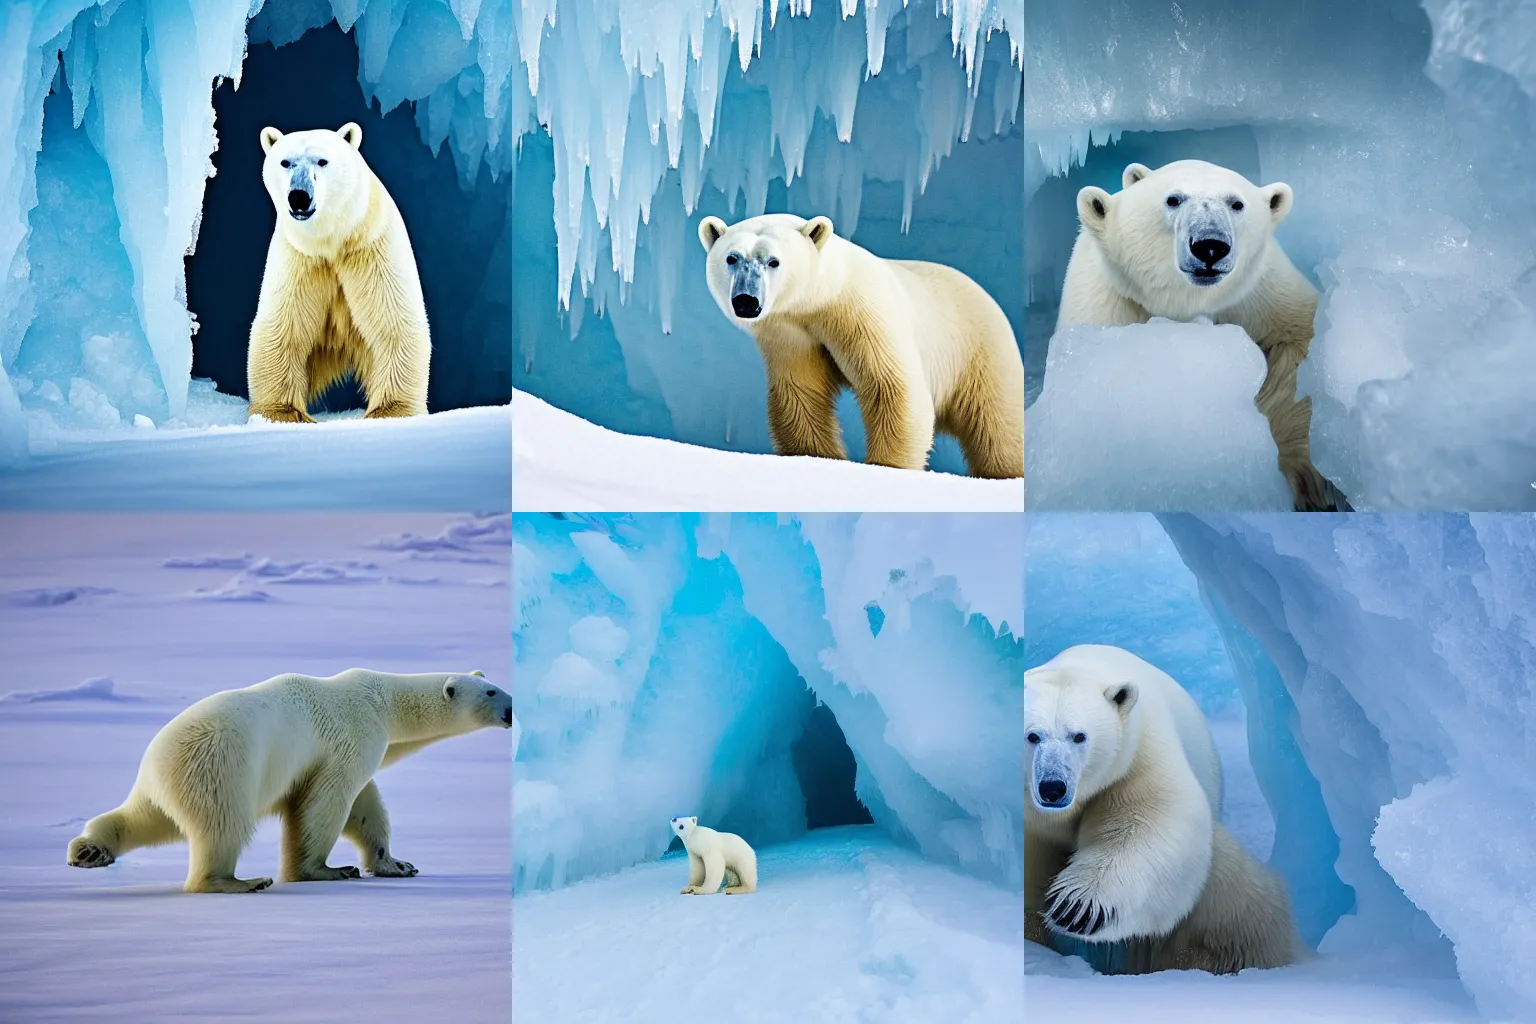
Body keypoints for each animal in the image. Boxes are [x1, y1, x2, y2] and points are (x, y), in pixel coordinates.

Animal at [69, 669, 513, 890]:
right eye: (492, 692)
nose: (512, 710)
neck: (380, 699)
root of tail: (157, 764)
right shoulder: (353, 737)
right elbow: (328, 802)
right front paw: (324, 870)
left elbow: (364, 807)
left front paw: (396, 863)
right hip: (222, 766)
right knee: (223, 825)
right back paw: (238, 881)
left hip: (166, 783)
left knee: (144, 816)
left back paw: (89, 851)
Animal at [247, 122, 433, 423]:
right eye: (286, 162)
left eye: (322, 161)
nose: (299, 196)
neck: (332, 241)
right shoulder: (301, 258)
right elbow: (282, 326)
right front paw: (280, 413)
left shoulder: (371, 248)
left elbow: (394, 321)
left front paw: (391, 411)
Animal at [703, 211, 1026, 482]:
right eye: (732, 258)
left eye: (773, 261)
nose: (746, 300)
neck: (825, 297)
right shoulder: (789, 334)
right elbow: (801, 396)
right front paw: (818, 457)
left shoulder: (866, 316)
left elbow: (892, 388)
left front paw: (886, 467)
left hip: (981, 354)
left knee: (998, 427)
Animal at [1019, 644, 1296, 976]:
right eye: (1032, 736)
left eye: (1079, 736)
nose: (1053, 788)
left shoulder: (1137, 756)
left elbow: (1151, 822)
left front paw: (1075, 908)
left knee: (1238, 904)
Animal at [1056, 160, 1345, 512]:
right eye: (1173, 199)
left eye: (1236, 203)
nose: (1210, 245)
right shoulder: (1109, 303)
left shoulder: (1261, 291)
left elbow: (1300, 344)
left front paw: (1309, 479)